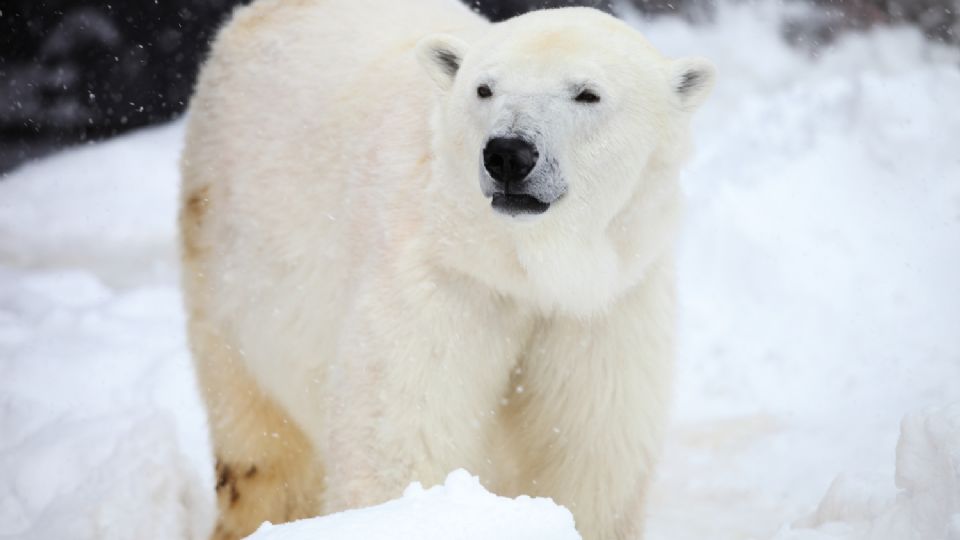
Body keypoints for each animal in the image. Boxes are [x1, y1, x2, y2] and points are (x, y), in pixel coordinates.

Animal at [182, 0, 712, 536]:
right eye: (484, 88)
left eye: (587, 93)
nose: (508, 153)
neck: (523, 269)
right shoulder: (439, 284)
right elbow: (402, 443)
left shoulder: (602, 310)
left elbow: (592, 456)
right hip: (226, 247)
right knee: (260, 445)